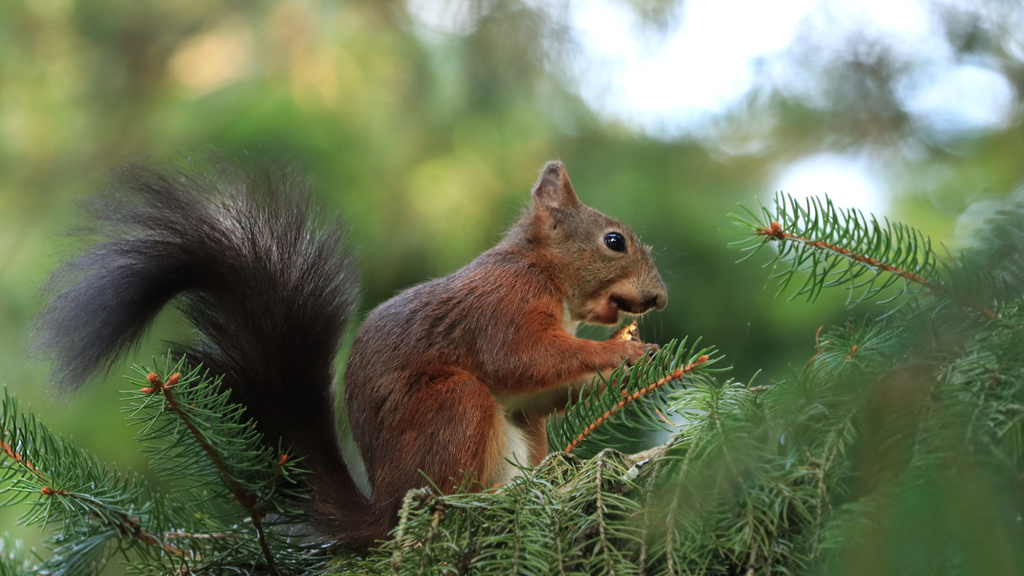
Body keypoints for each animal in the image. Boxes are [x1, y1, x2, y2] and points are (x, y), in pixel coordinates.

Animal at [34, 156, 663, 541]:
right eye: (614, 241)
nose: (658, 298)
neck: (543, 271)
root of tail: (383, 509)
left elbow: (543, 391)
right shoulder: (504, 307)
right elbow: (523, 358)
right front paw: (621, 355)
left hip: (516, 431)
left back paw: (550, 479)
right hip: (453, 406)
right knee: (446, 492)